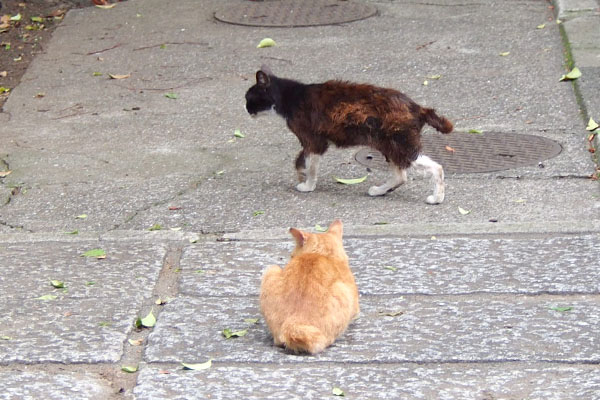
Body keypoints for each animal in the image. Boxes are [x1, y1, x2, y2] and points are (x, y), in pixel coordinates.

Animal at [246, 67, 452, 205]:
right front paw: (301, 173)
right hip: (388, 145)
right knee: (401, 176)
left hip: (400, 144)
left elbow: (311, 166)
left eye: (249, 98)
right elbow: (300, 159)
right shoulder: (315, 142)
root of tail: (417, 107)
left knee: (436, 168)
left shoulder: (313, 140)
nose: (245, 108)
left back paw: (437, 197)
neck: (291, 97)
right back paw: (379, 191)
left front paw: (308, 185)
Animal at [260, 220, 358, 354]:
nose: (291, 257)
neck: (320, 254)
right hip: (342, 291)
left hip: (271, 270)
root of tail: (295, 322)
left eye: (292, 256)